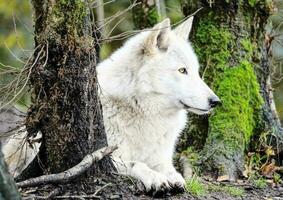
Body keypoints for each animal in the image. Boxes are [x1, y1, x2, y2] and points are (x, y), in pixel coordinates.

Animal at [98, 16, 222, 191]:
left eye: (196, 71)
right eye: (182, 70)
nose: (216, 101)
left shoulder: (161, 157)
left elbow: (168, 168)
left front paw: (174, 177)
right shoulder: (112, 157)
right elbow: (138, 164)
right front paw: (156, 178)